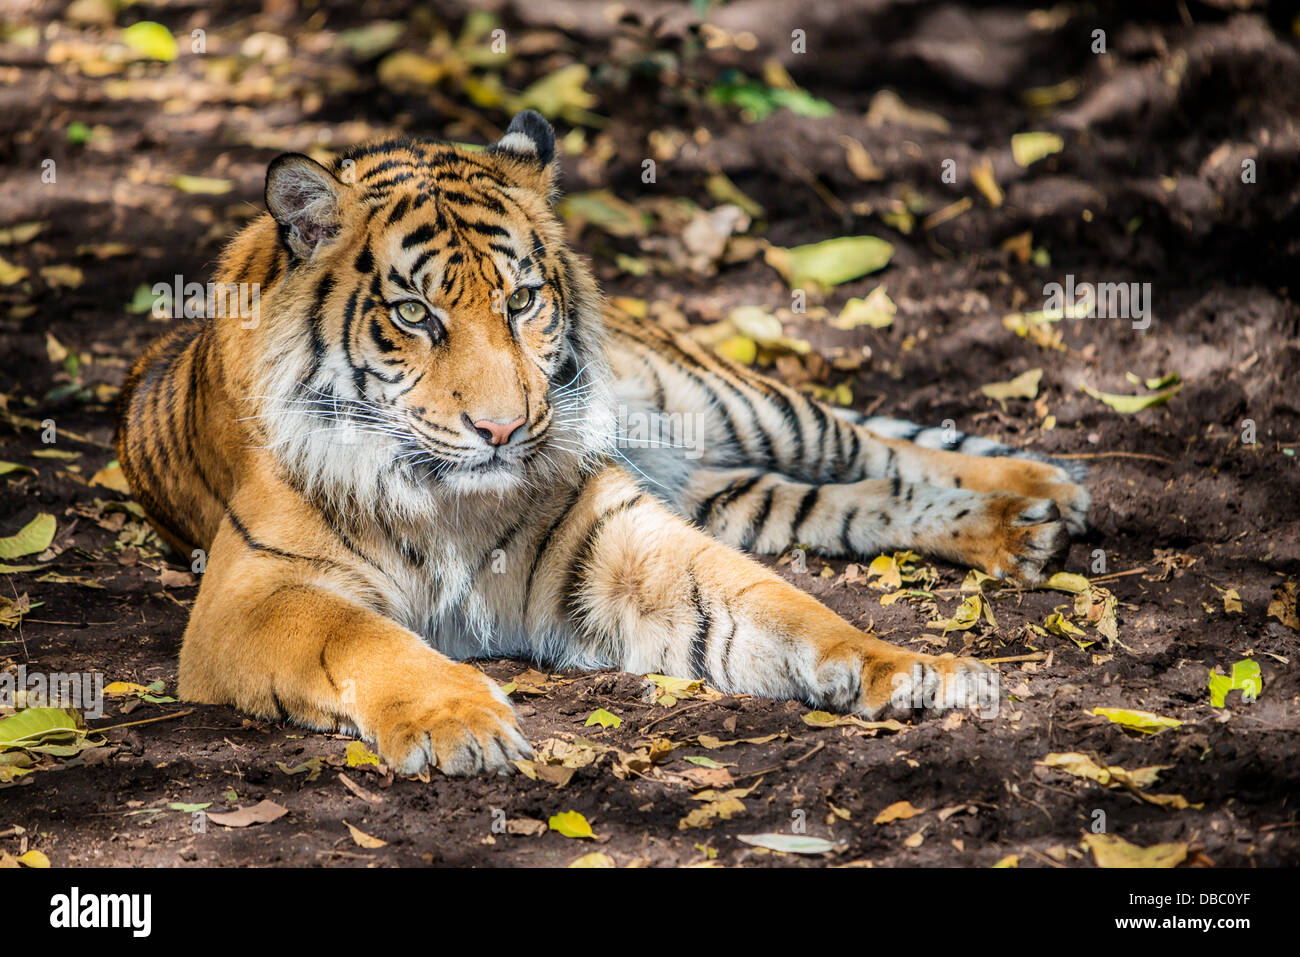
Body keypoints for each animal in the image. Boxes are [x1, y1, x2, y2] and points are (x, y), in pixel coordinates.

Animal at [116, 108, 1086, 774]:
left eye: (520, 300)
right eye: (415, 314)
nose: (503, 428)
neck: (447, 502)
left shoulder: (623, 538)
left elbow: (790, 608)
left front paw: (915, 667)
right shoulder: (253, 592)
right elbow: (363, 637)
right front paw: (459, 721)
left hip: (722, 402)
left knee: (871, 447)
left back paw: (1044, 492)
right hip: (727, 489)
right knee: (850, 497)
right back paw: (1024, 523)